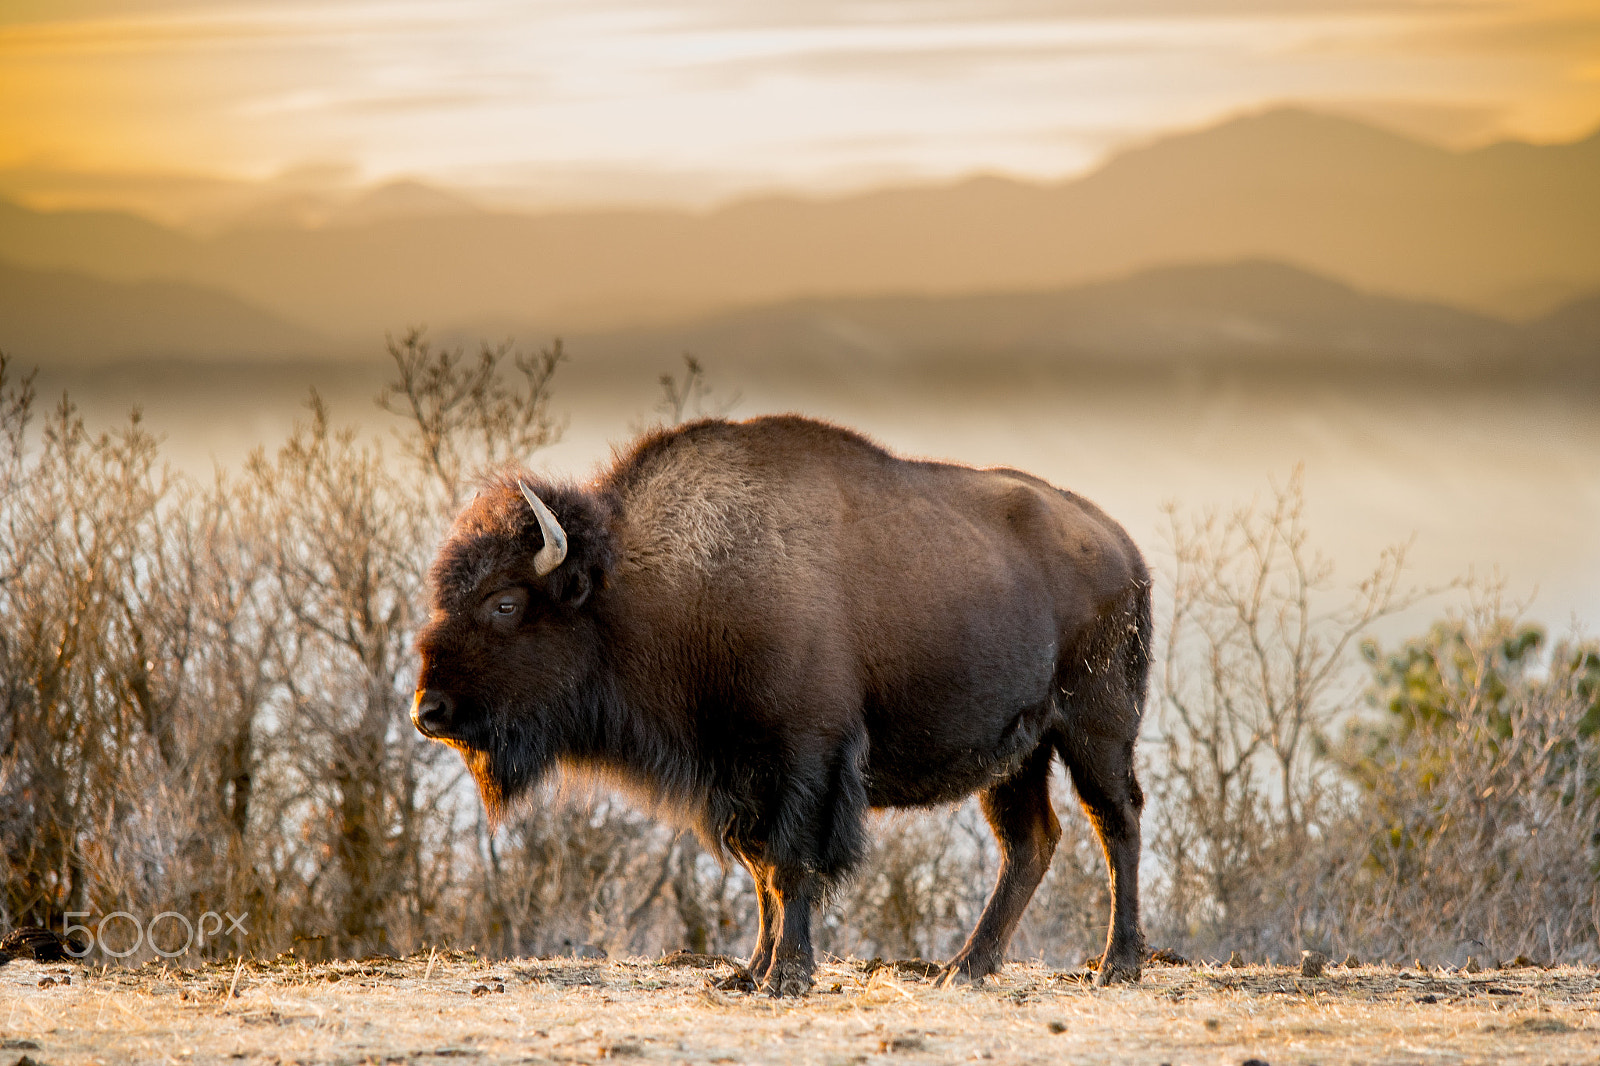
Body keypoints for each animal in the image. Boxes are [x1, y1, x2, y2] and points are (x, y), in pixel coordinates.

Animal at [412, 415, 1150, 995]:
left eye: (505, 604)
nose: (428, 711)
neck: (648, 583)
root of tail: (1120, 544)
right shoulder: (738, 776)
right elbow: (761, 868)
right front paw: (748, 971)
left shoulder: (805, 761)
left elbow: (791, 865)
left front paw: (786, 976)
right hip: (1016, 755)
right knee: (1030, 843)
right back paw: (965, 968)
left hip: (1096, 730)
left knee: (1117, 823)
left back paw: (1116, 965)